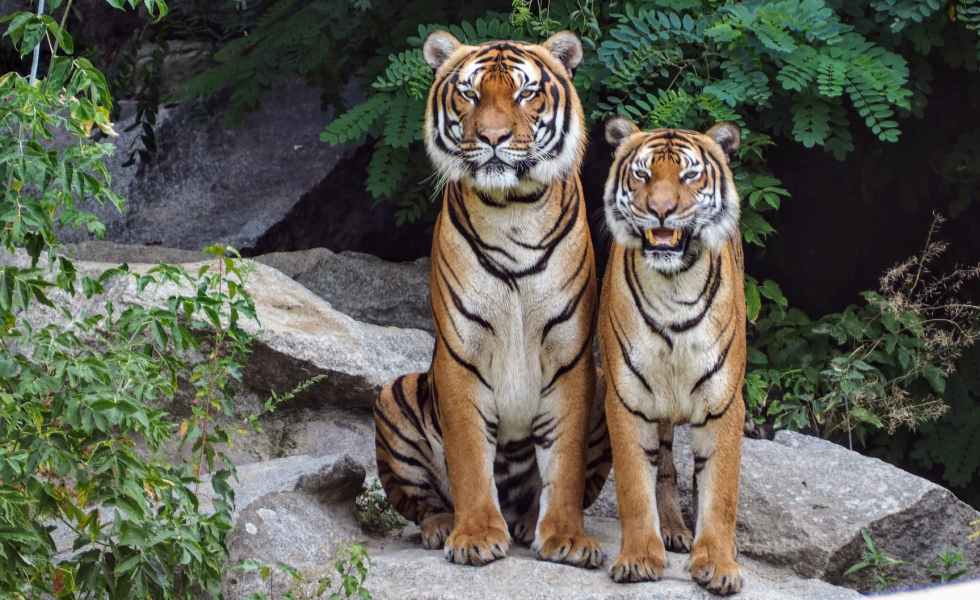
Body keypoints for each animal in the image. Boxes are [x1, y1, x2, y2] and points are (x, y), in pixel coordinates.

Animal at [372, 30, 611, 569]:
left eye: (525, 93)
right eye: (470, 93)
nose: (493, 138)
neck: (513, 209)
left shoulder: (570, 355)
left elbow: (564, 463)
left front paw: (566, 537)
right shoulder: (462, 353)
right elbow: (468, 457)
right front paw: (477, 534)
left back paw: (526, 522)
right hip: (395, 393)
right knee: (421, 502)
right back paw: (443, 526)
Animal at [597, 117, 747, 595]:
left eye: (689, 175)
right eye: (643, 175)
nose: (661, 210)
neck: (673, 287)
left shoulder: (724, 404)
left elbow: (720, 494)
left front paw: (718, 564)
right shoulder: (626, 399)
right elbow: (633, 485)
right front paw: (639, 558)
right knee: (663, 467)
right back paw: (673, 530)